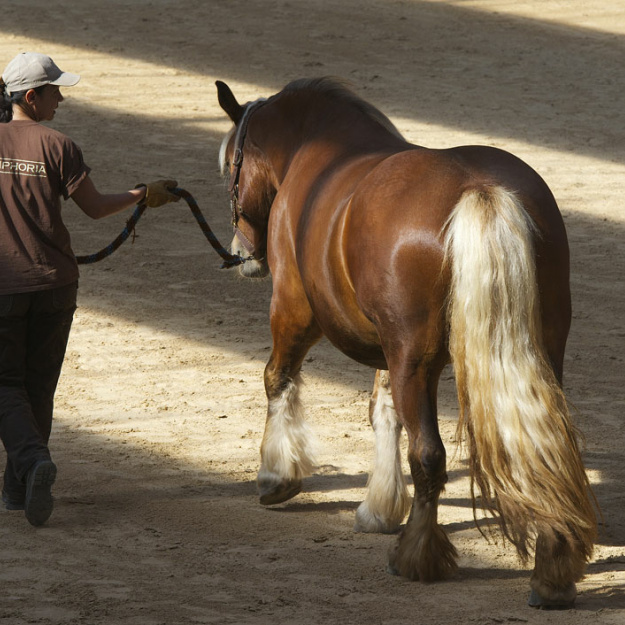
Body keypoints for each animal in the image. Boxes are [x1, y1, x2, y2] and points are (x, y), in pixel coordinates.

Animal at [214, 78, 596, 608]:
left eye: (230, 166)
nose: (241, 253)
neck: (319, 151)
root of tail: (479, 188)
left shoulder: (294, 307)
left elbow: (279, 377)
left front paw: (276, 476)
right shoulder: (388, 345)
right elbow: (384, 412)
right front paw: (378, 506)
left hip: (412, 359)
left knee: (429, 456)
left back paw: (416, 556)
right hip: (539, 348)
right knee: (543, 446)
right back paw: (552, 573)